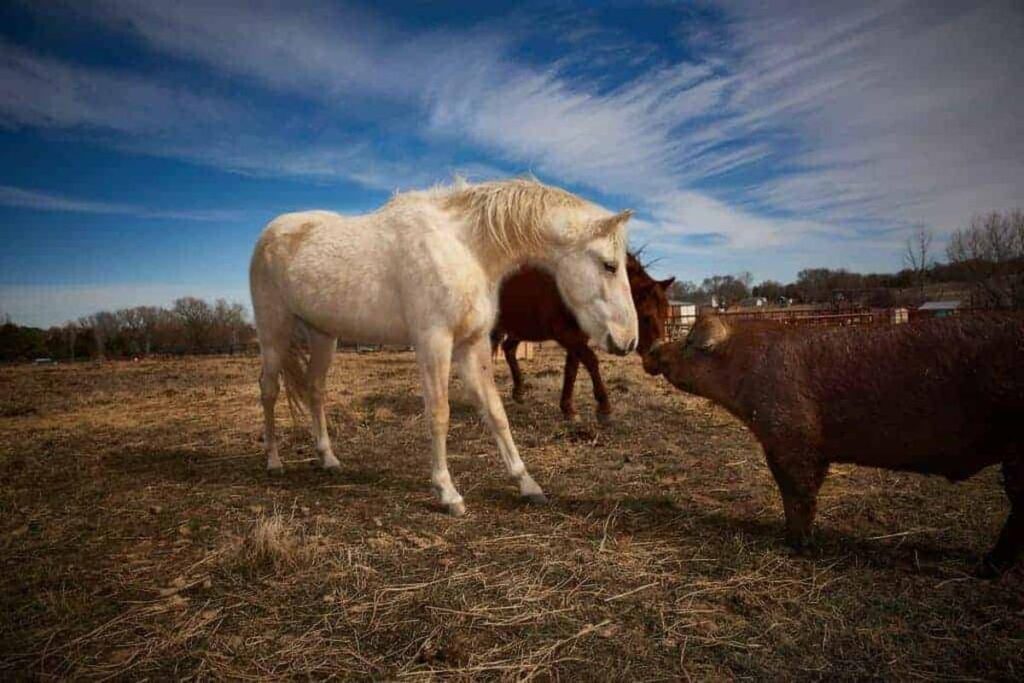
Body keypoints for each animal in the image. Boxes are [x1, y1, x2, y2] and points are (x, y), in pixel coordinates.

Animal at [250, 179, 634, 516]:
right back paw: (273, 461)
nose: (628, 341)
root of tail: (268, 234)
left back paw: (328, 459)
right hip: (274, 333)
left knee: (315, 389)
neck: (465, 247)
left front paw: (527, 484)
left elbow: (496, 413)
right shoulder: (434, 342)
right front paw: (447, 493)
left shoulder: (473, 345)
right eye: (610, 265)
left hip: (323, 336)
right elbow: (439, 414)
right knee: (268, 390)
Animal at [493, 253, 675, 419]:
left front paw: (568, 409)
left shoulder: (577, 338)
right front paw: (604, 407)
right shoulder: (567, 335)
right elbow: (592, 362)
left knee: (508, 349)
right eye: (646, 317)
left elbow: (571, 370)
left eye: (666, 315)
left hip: (520, 330)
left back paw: (518, 392)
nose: (656, 363)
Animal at [643, 317, 1019, 577]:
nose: (652, 349)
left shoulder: (793, 438)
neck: (744, 369)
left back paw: (986, 570)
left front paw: (798, 547)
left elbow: (798, 493)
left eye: (691, 342)